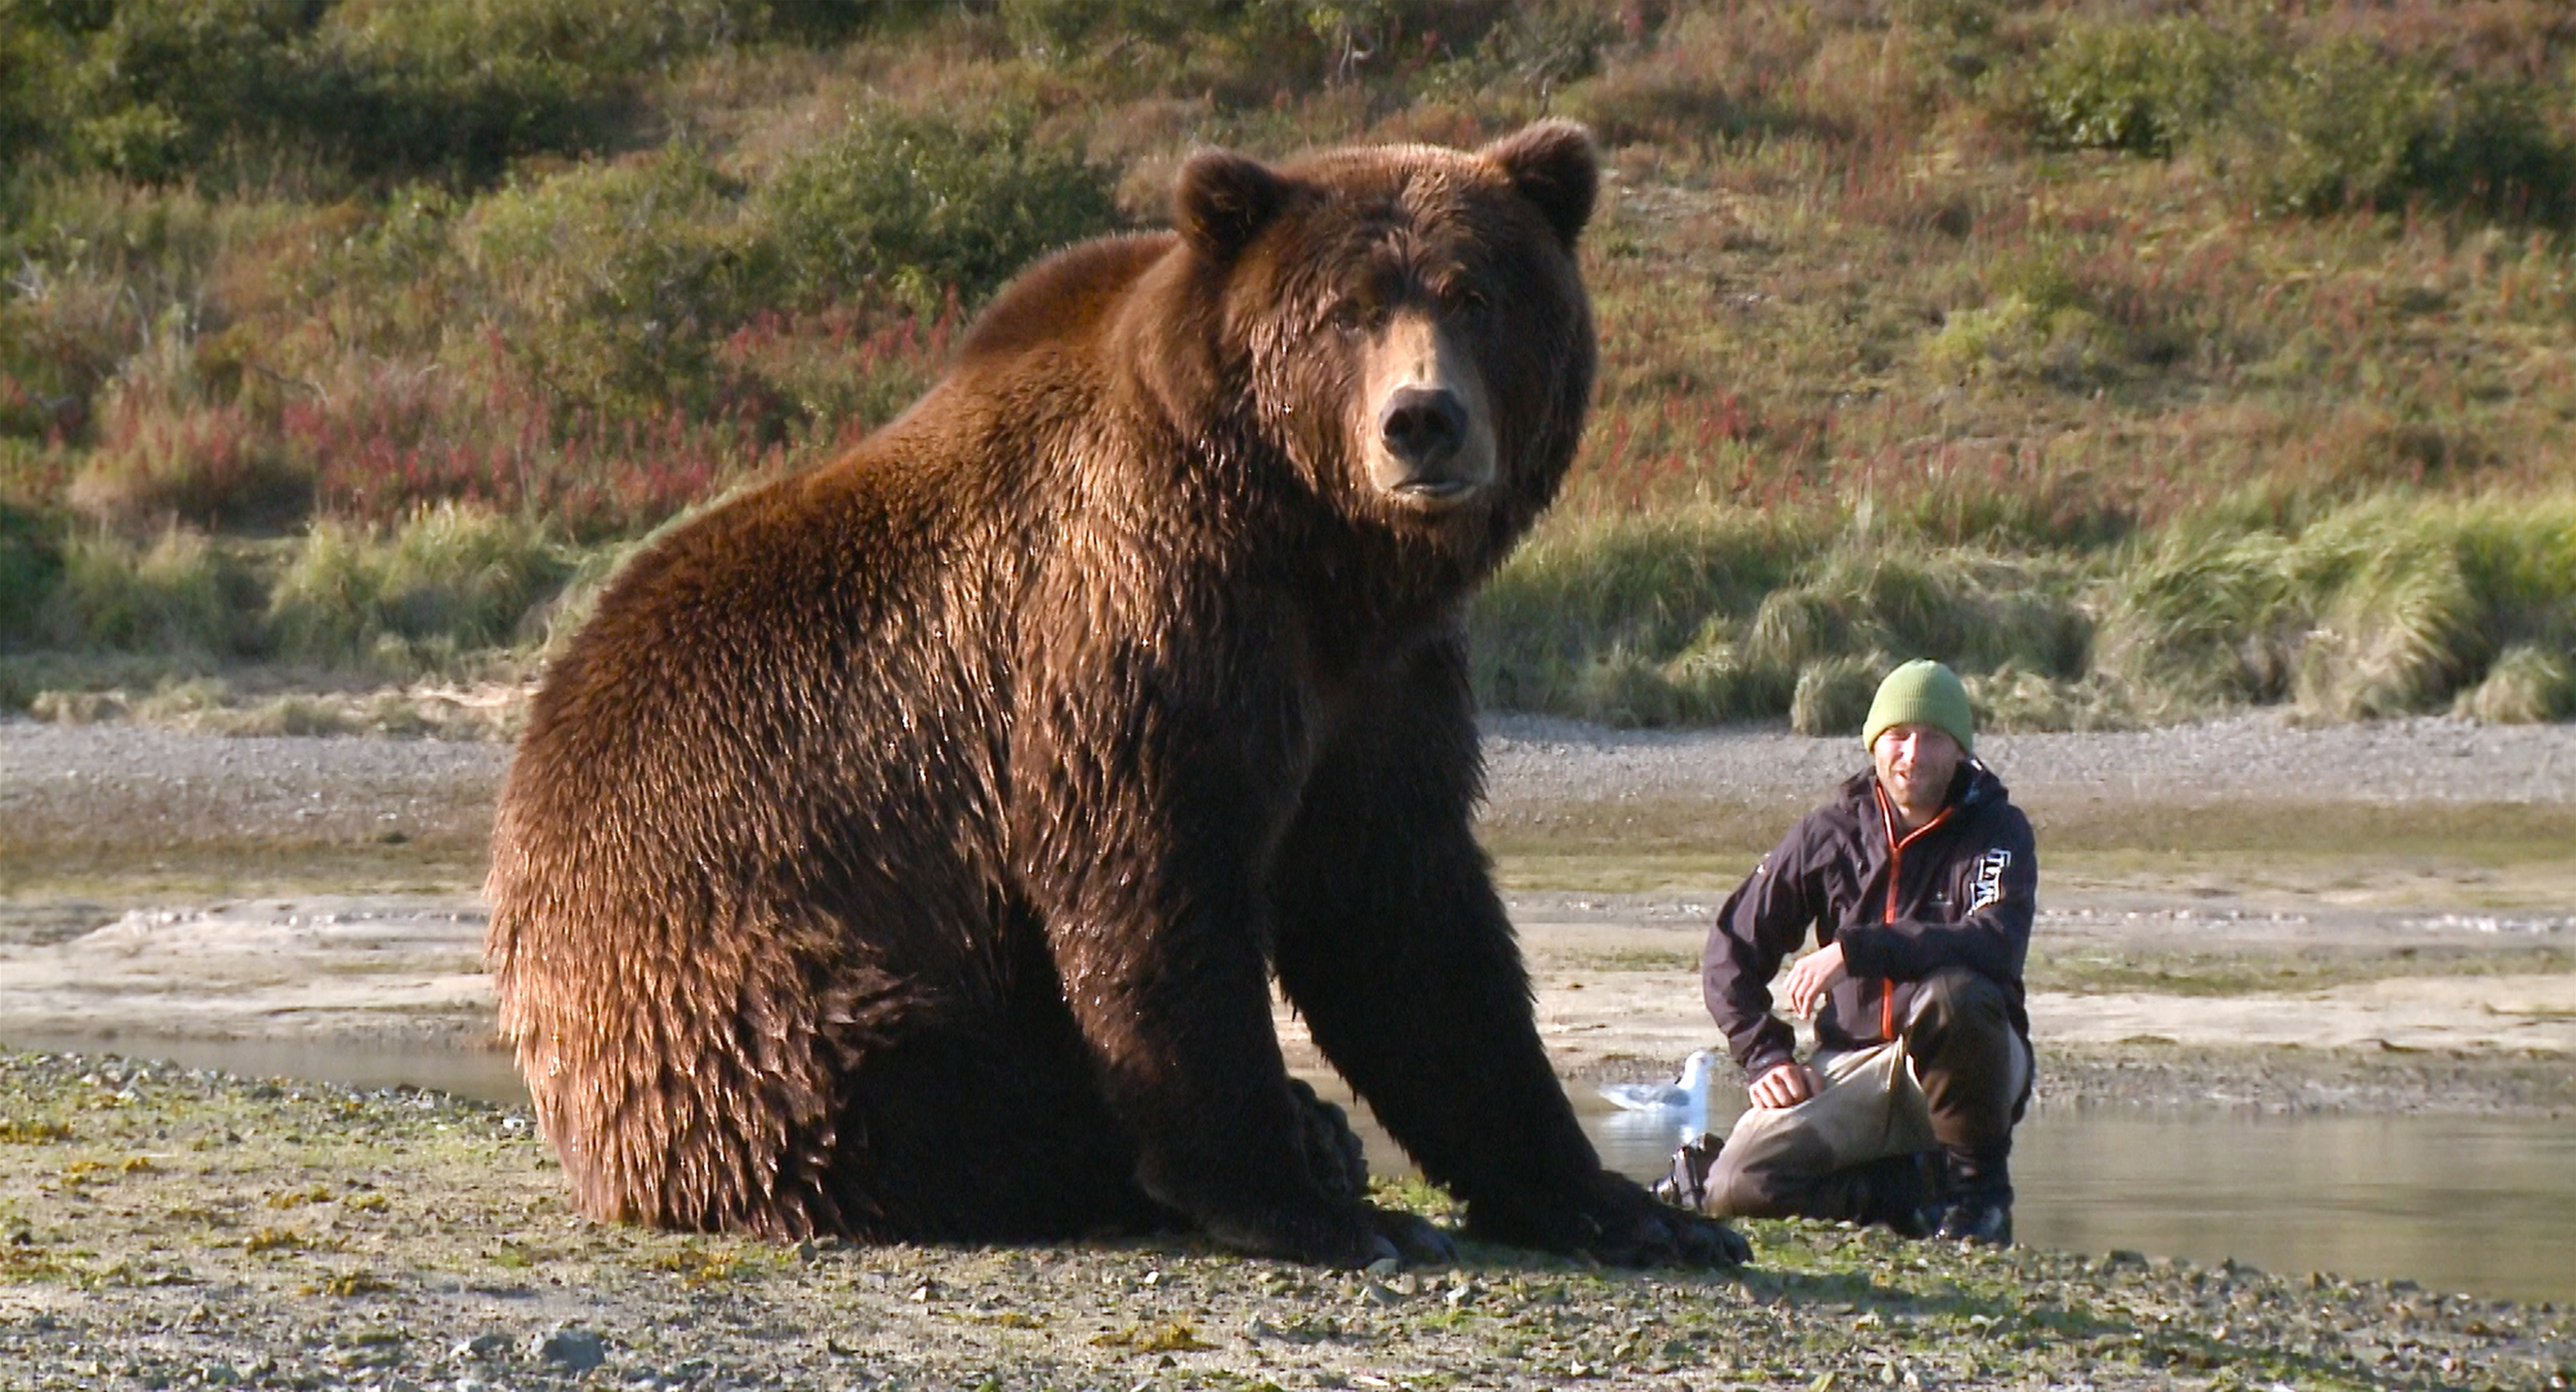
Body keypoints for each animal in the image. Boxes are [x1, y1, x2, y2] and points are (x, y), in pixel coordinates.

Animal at [484, 119, 1752, 1266]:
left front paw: (1624, 1208)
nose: (1421, 421)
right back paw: (1260, 1146)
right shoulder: (1135, 622)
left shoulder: (1380, 682)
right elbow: (1156, 887)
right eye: (1345, 310)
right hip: (733, 982)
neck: (1314, 545)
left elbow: (1409, 923)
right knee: (909, 1089)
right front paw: (1314, 1206)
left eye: (1474, 293)